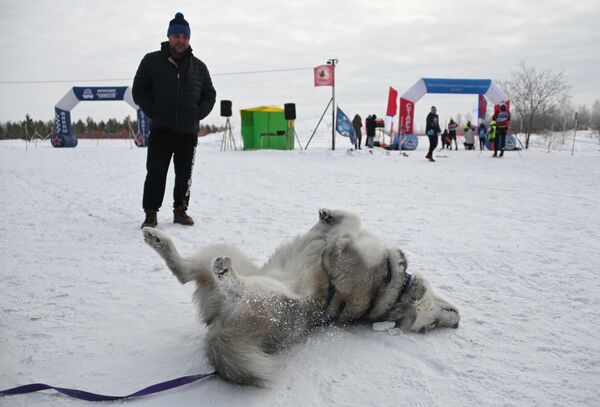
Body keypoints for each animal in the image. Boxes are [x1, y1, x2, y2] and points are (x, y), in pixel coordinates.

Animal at [142, 209, 460, 388]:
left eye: (429, 327)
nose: (457, 321)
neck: (396, 289)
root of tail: (218, 323)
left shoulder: (338, 255)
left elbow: (349, 226)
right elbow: (344, 222)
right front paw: (329, 215)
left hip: (267, 294)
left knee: (227, 283)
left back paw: (224, 272)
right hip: (231, 255)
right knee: (183, 271)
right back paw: (157, 240)